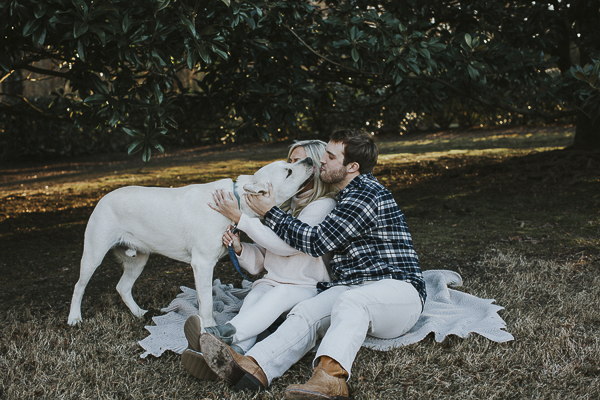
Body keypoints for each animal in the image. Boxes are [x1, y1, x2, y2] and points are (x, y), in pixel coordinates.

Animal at [68, 156, 316, 324]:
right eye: (288, 171)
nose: (309, 159)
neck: (236, 200)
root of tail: (102, 198)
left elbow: (204, 299)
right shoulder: (203, 264)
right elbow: (206, 302)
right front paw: (209, 328)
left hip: (138, 259)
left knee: (123, 287)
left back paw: (139, 313)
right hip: (93, 254)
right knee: (79, 286)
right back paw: (74, 318)